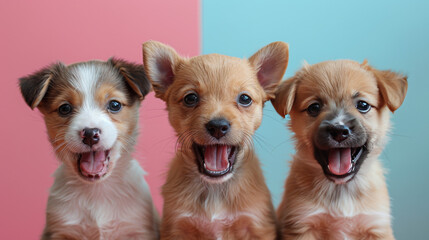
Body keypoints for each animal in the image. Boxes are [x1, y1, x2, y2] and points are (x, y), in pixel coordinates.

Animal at [19, 58, 160, 240]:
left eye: (114, 104)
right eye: (64, 108)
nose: (90, 134)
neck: (96, 191)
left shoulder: (138, 229)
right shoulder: (60, 230)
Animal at [143, 40, 288, 239]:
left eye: (245, 98)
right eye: (190, 98)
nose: (218, 126)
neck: (215, 189)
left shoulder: (258, 227)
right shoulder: (176, 227)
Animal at [272, 60, 406, 240]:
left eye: (363, 105)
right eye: (314, 107)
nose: (339, 131)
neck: (341, 190)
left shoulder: (376, 226)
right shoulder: (301, 223)